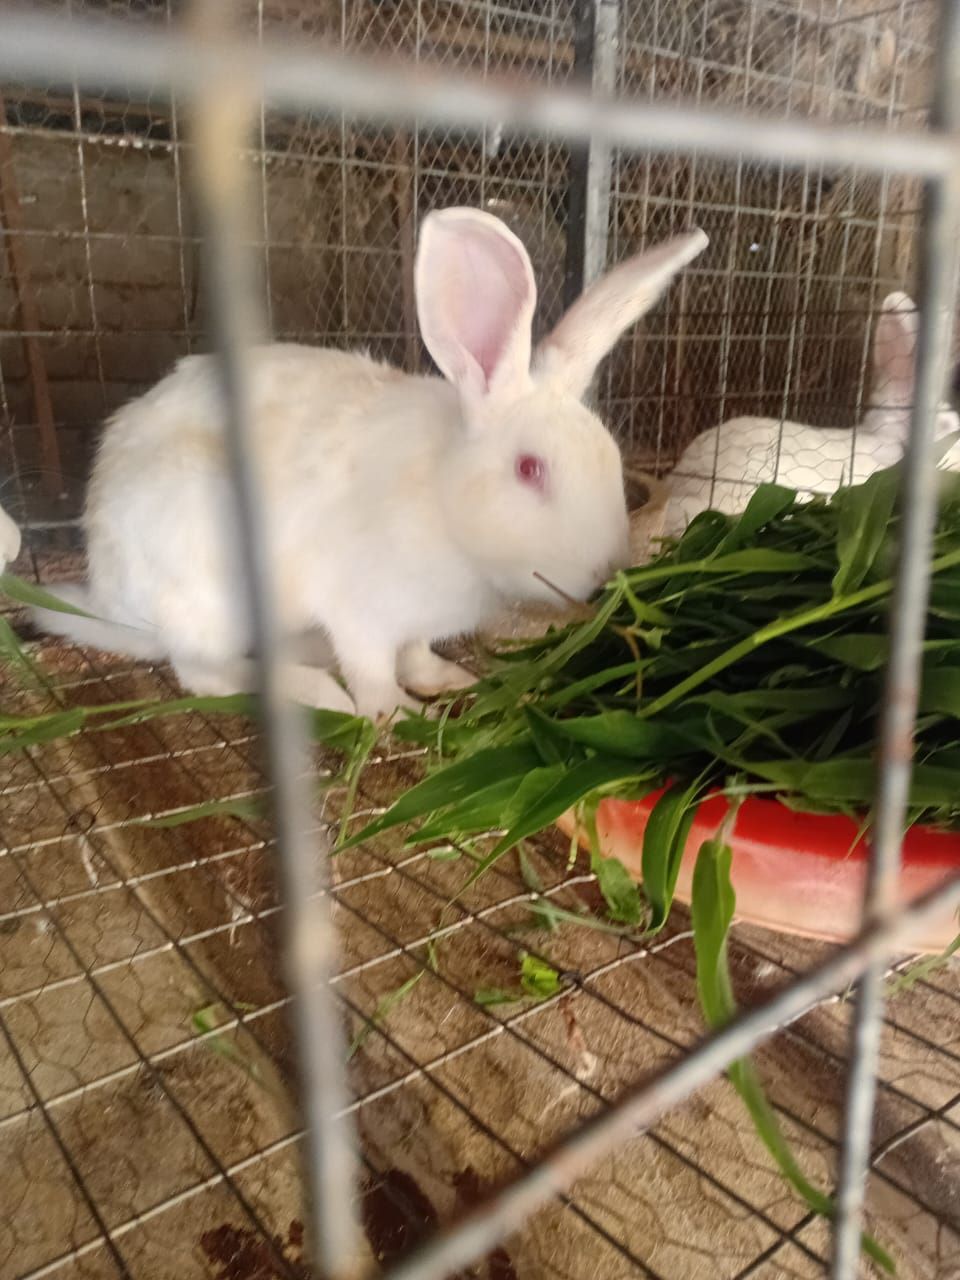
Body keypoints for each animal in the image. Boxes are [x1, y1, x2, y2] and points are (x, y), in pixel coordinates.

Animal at [31, 209, 708, 721]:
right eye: (528, 470)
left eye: (613, 461)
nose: (606, 577)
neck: (444, 501)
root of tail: (117, 601)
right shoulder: (360, 612)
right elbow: (373, 669)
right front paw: (398, 713)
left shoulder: (414, 622)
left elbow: (414, 654)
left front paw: (446, 679)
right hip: (209, 587)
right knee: (208, 674)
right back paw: (318, 691)